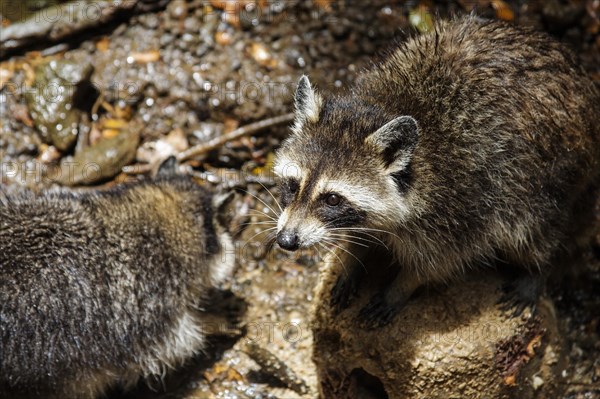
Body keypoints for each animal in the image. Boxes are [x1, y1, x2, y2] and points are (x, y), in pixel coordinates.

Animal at [276, 16, 600, 328]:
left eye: (332, 199)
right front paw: (353, 258)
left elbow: (438, 263)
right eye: (292, 185)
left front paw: (400, 288)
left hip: (548, 180)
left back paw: (537, 269)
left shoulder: (461, 205)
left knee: (535, 231)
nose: (286, 241)